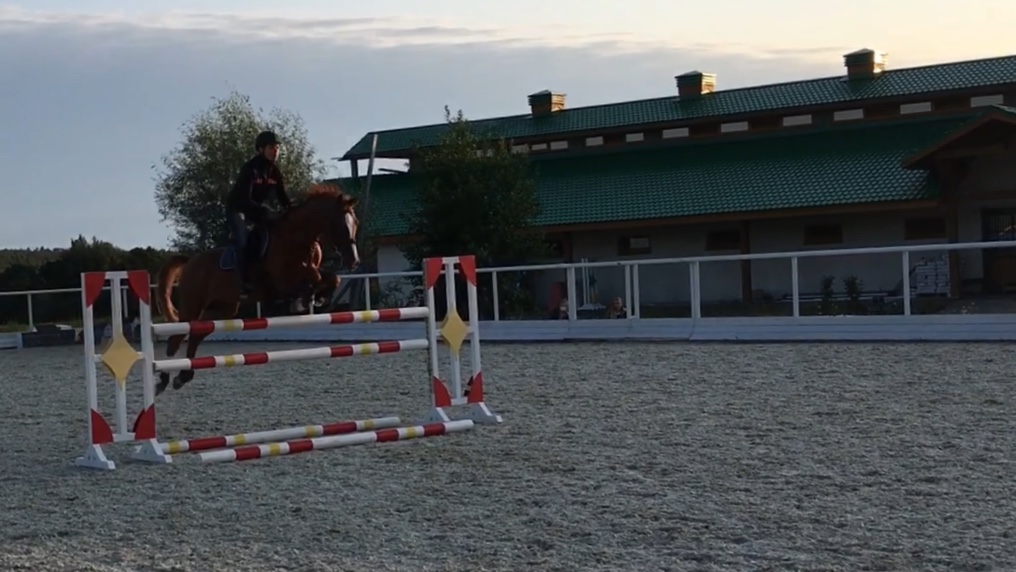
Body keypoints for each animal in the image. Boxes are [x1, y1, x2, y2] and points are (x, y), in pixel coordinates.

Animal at [153, 185, 360, 395]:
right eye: (341, 225)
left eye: (356, 224)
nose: (354, 261)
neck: (297, 238)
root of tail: (190, 262)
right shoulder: (284, 281)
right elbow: (314, 278)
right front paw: (302, 302)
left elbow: (332, 278)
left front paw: (317, 298)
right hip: (192, 306)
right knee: (175, 339)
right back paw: (164, 380)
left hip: (222, 309)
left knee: (195, 335)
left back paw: (183, 376)